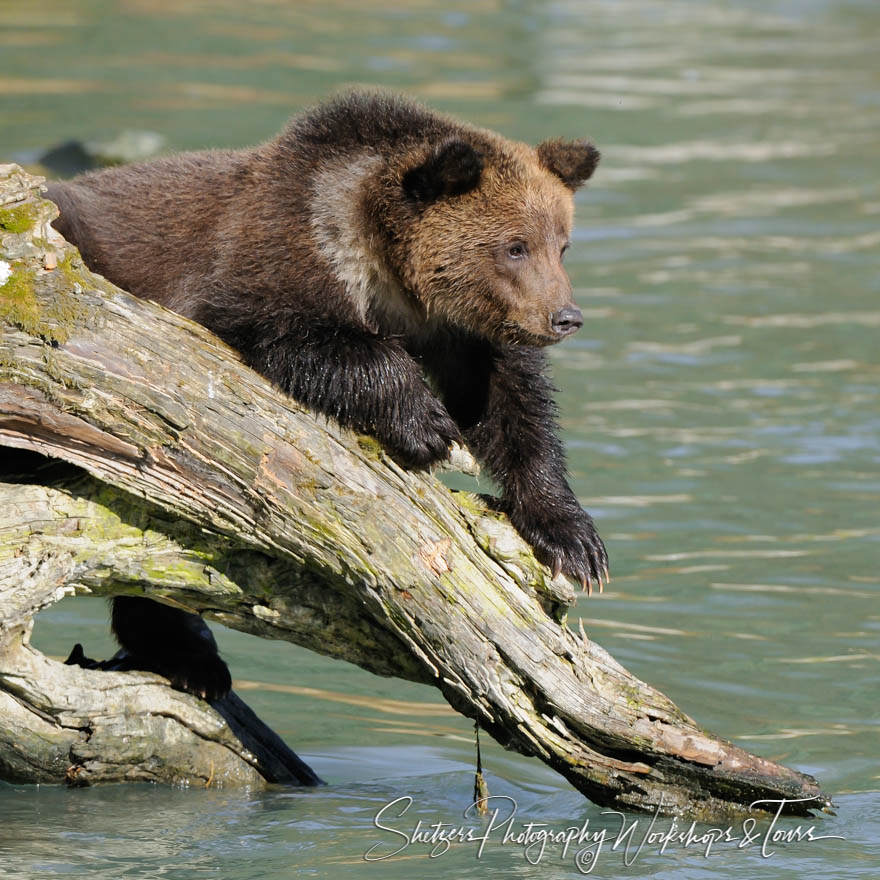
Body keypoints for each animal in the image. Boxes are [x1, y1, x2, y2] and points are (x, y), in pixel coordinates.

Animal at [48, 89, 608, 700]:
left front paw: (575, 541)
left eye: (561, 245)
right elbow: (297, 335)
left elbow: (512, 407)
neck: (384, 266)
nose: (566, 317)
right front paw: (426, 425)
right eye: (515, 247)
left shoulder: (461, 334)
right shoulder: (266, 258)